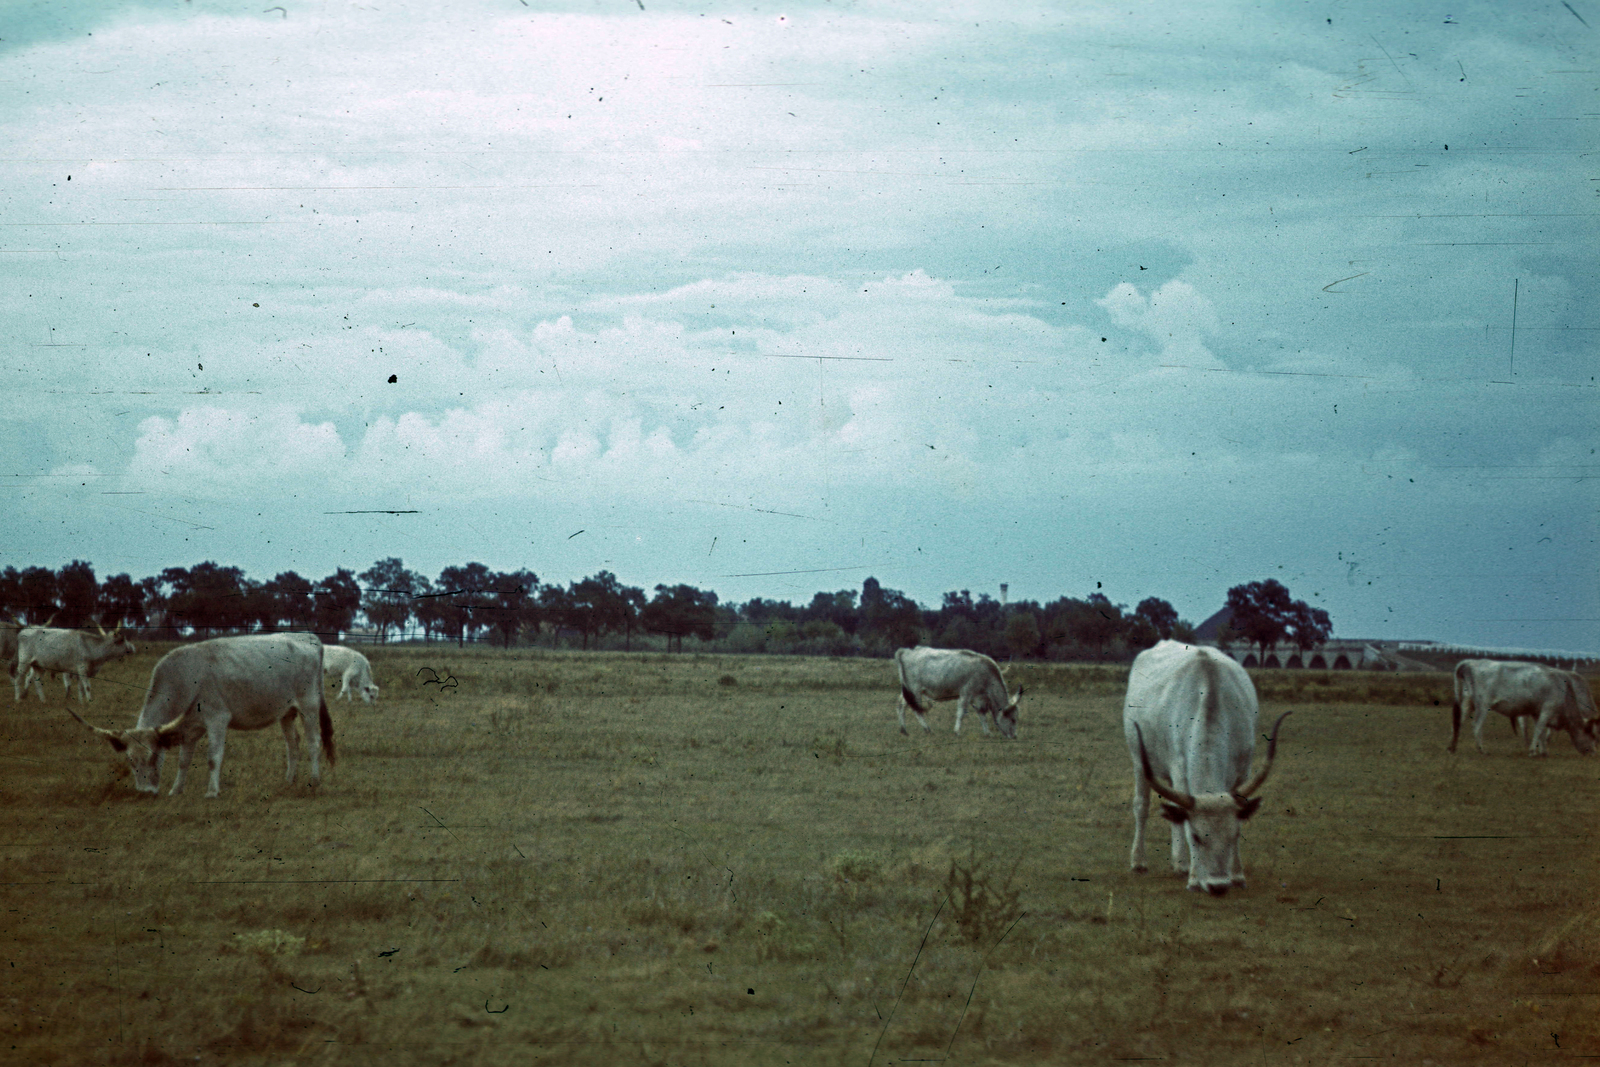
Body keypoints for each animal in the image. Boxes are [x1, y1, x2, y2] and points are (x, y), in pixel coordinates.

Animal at [1120, 643, 1292, 902]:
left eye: (1233, 835)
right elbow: (1180, 816)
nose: (1217, 886)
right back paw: (1141, 862)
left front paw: (1237, 875)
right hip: (1138, 760)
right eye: (1196, 836)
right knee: (1142, 806)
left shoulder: (1241, 771)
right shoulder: (1179, 769)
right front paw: (1192, 877)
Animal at [1452, 659, 1600, 758]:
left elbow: (1540, 731)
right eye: (1592, 735)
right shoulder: (1548, 709)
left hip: (1467, 702)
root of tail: (1470, 662)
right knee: (1477, 725)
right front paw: (1533, 751)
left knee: (1459, 721)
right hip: (1482, 705)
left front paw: (1543, 751)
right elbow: (1539, 729)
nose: (1593, 752)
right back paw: (1481, 750)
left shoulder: (1537, 712)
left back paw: (1452, 747)